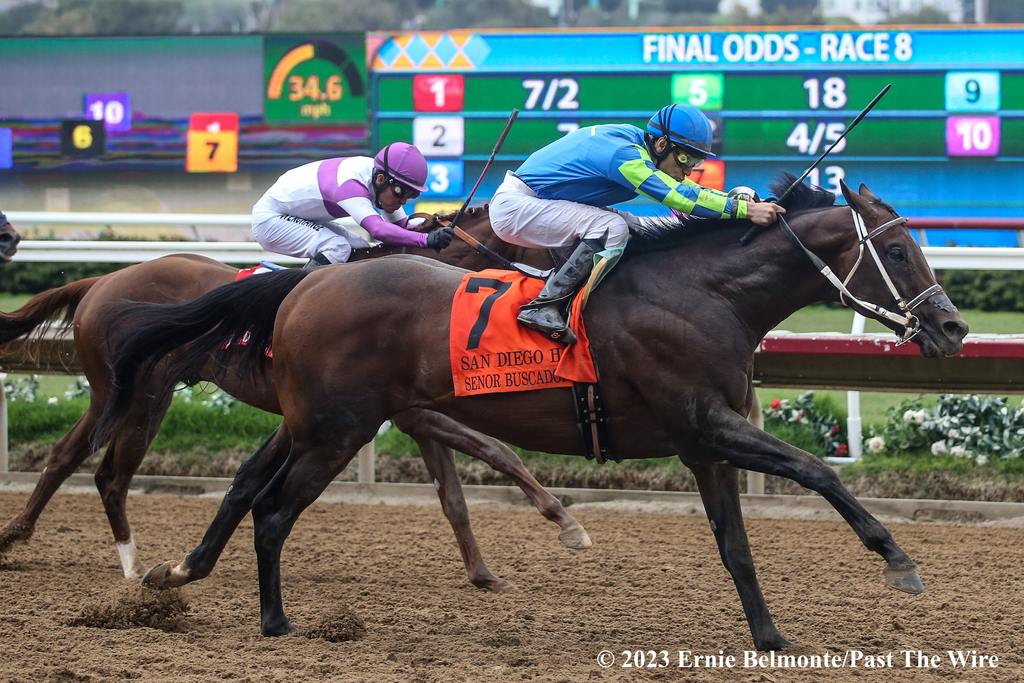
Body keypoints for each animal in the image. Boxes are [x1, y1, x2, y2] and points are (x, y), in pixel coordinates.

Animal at [0, 206, 593, 589]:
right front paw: (563, 521)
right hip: (134, 394)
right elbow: (498, 452)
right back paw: (92, 553)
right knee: (92, 467)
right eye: (553, 240)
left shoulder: (415, 410)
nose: (559, 291)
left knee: (83, 463)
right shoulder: (412, 414)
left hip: (132, 394)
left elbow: (456, 496)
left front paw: (485, 575)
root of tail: (100, 281)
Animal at [99, 178, 970, 647]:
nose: (953, 327)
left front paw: (769, 634)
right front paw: (898, 558)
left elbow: (738, 548)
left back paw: (186, 574)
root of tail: (309, 280)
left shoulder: (705, 443)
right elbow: (817, 468)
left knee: (253, 486)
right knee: (275, 510)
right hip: (336, 428)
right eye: (896, 249)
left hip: (318, 419)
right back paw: (276, 620)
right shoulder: (704, 422)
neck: (702, 294)